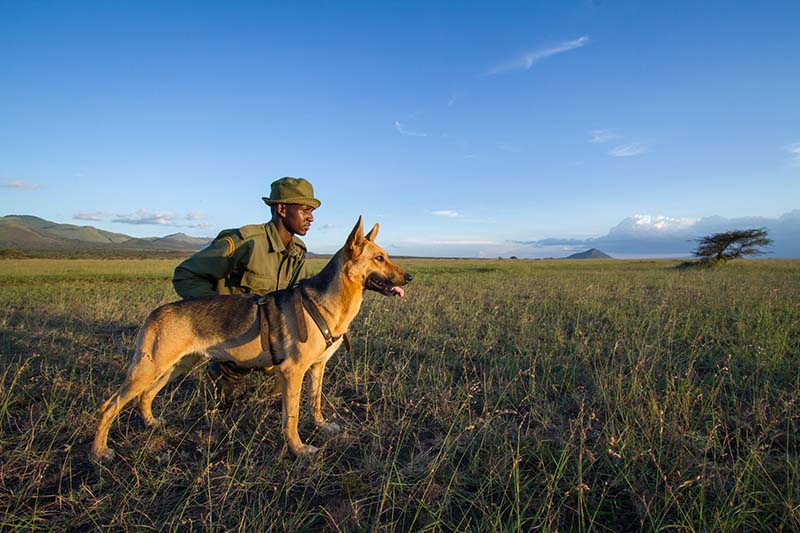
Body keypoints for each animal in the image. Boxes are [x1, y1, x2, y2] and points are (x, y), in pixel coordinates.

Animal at [92, 218, 412, 460]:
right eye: (379, 258)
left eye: (387, 255)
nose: (409, 277)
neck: (327, 302)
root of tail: (156, 312)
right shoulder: (292, 372)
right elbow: (292, 416)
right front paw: (298, 450)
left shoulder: (317, 368)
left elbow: (315, 402)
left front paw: (321, 426)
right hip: (149, 369)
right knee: (109, 406)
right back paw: (99, 452)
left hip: (174, 367)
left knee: (145, 396)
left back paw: (151, 424)